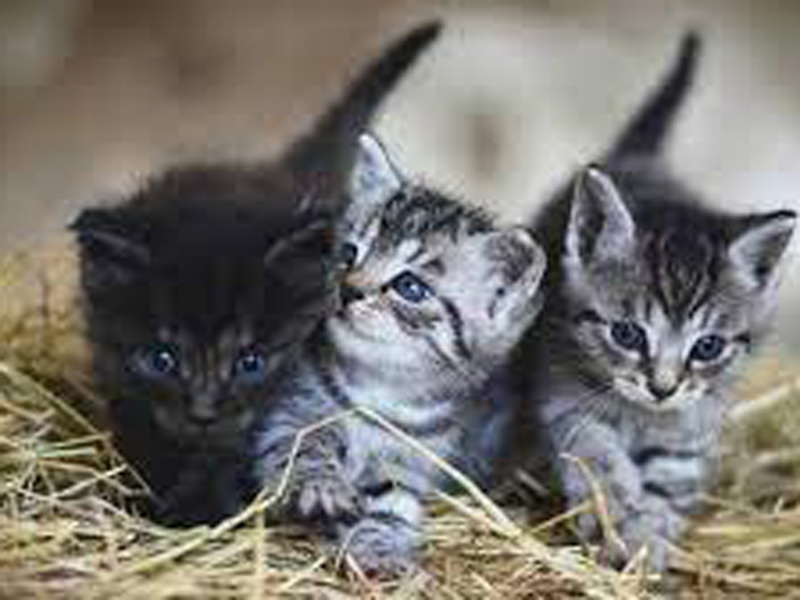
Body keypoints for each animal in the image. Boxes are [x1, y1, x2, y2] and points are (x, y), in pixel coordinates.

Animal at [70, 21, 441, 526]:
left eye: (251, 363)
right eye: (162, 359)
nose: (204, 412)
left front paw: (208, 509)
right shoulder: (122, 383)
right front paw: (155, 497)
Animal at [253, 132, 546, 576]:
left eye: (410, 287)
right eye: (348, 255)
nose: (348, 290)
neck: (379, 389)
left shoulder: (412, 459)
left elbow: (392, 500)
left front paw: (380, 544)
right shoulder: (290, 407)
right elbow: (301, 445)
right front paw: (319, 483)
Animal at [520, 32, 797, 570]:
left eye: (707, 347)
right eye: (627, 334)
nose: (662, 388)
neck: (642, 416)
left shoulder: (693, 423)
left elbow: (670, 482)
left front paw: (648, 540)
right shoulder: (560, 386)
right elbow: (592, 447)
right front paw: (613, 507)